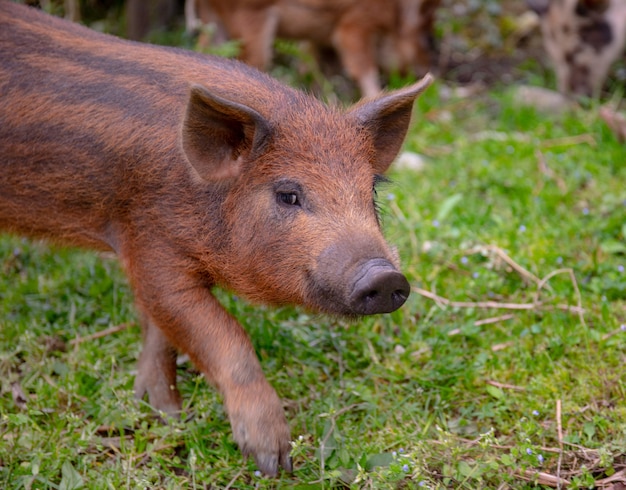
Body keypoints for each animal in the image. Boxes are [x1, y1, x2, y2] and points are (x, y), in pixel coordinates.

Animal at [0, 0, 428, 474]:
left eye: (371, 191)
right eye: (288, 194)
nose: (385, 276)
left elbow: (161, 332)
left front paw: (162, 414)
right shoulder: (151, 244)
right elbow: (223, 336)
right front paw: (271, 460)